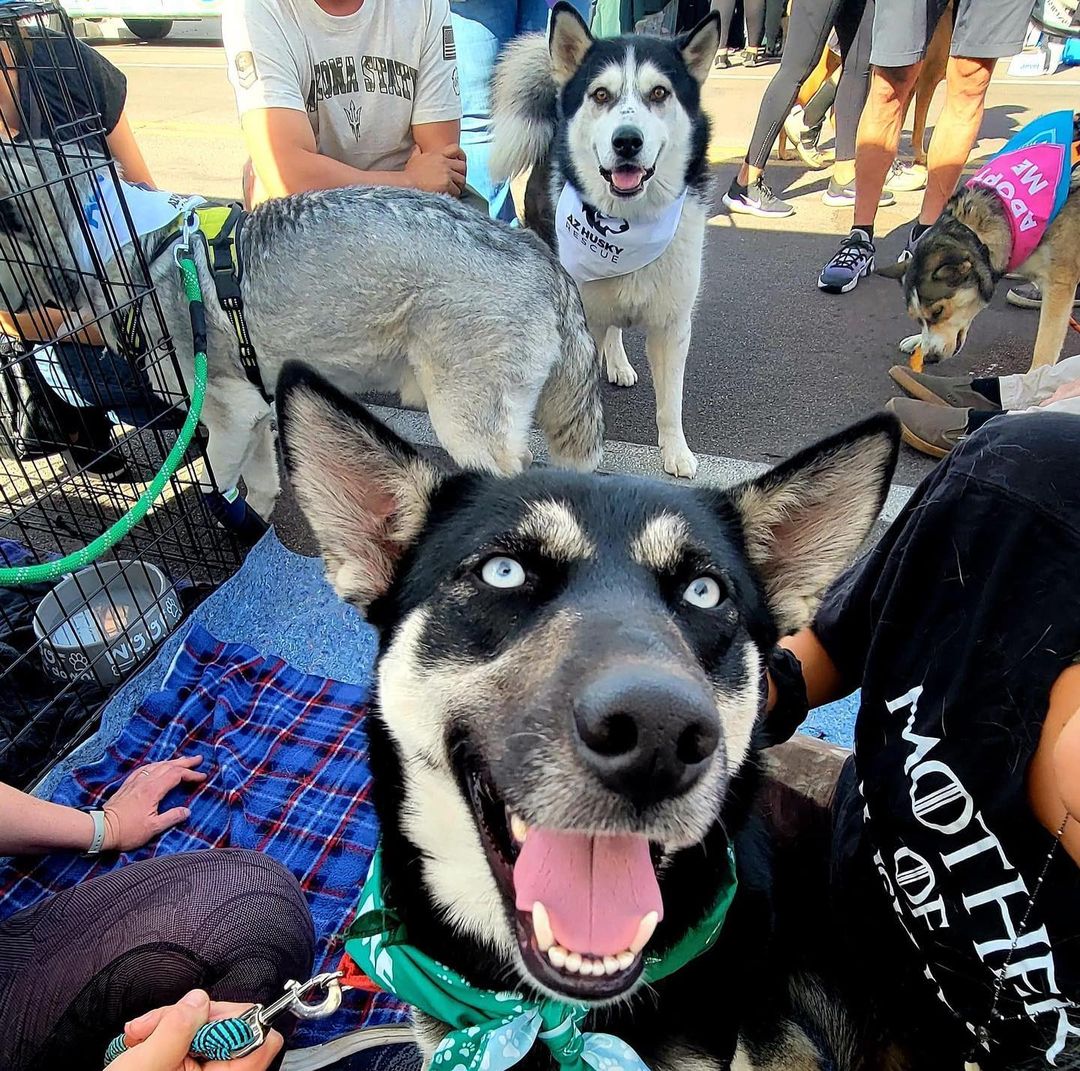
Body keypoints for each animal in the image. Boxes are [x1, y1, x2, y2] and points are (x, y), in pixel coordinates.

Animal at [494, 3, 721, 481]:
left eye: (659, 93)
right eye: (600, 95)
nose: (627, 141)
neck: (630, 222)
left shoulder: (673, 327)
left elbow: (670, 404)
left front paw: (676, 452)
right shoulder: (581, 324)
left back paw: (617, 363)